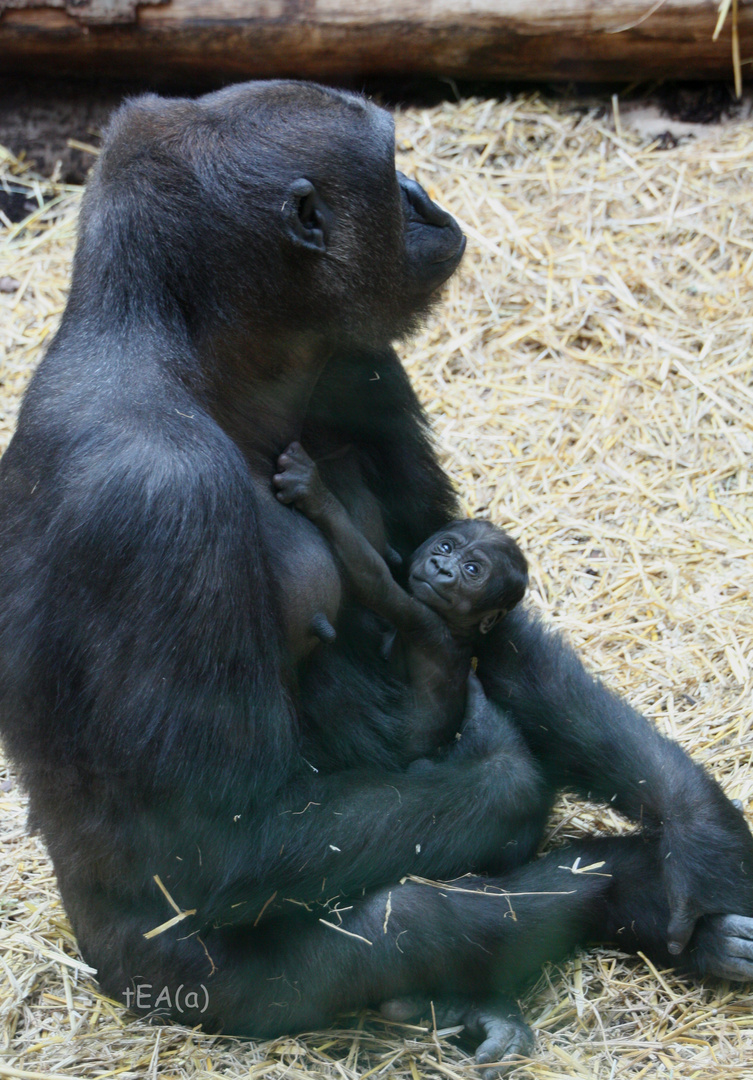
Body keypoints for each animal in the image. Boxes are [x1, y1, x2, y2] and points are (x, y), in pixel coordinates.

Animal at [273, 438, 525, 751]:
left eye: (472, 569)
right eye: (446, 548)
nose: (441, 568)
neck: (458, 629)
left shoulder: (424, 625)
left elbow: (374, 580)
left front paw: (313, 491)